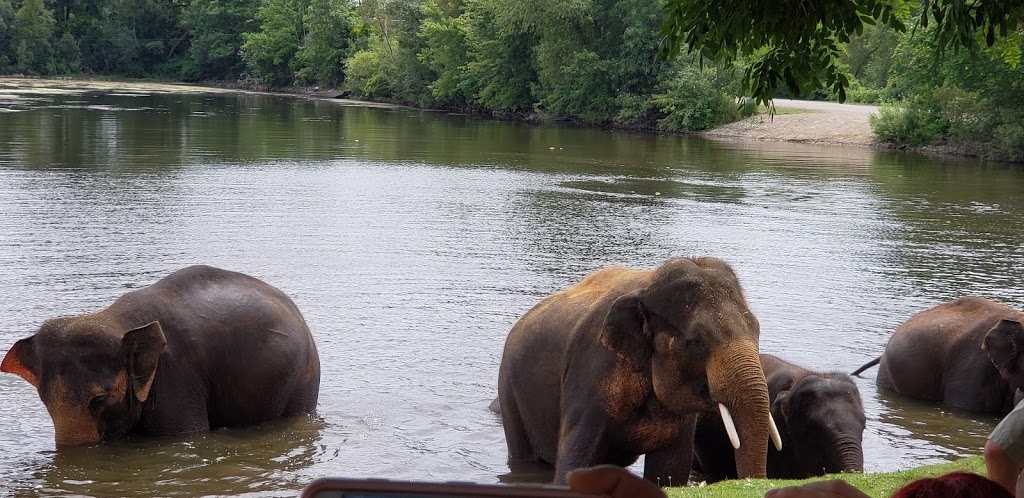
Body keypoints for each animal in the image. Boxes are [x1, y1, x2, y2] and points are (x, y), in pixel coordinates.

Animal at [493, 258, 774, 483]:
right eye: (696, 341)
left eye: (757, 328)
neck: (647, 284)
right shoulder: (590, 374)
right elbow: (574, 465)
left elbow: (670, 472)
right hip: (510, 394)